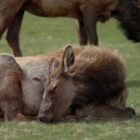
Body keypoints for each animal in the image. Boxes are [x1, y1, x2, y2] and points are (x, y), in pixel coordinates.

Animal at [0, 0, 140, 56]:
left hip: (20, 9)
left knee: (12, 36)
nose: (138, 37)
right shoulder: (88, 9)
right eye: (137, 9)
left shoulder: (79, 15)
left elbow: (82, 41)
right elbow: (93, 40)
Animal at [0, 45, 136, 122]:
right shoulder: (85, 105)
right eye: (44, 88)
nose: (41, 117)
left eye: (54, 88)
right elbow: (127, 113)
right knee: (13, 117)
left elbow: (130, 110)